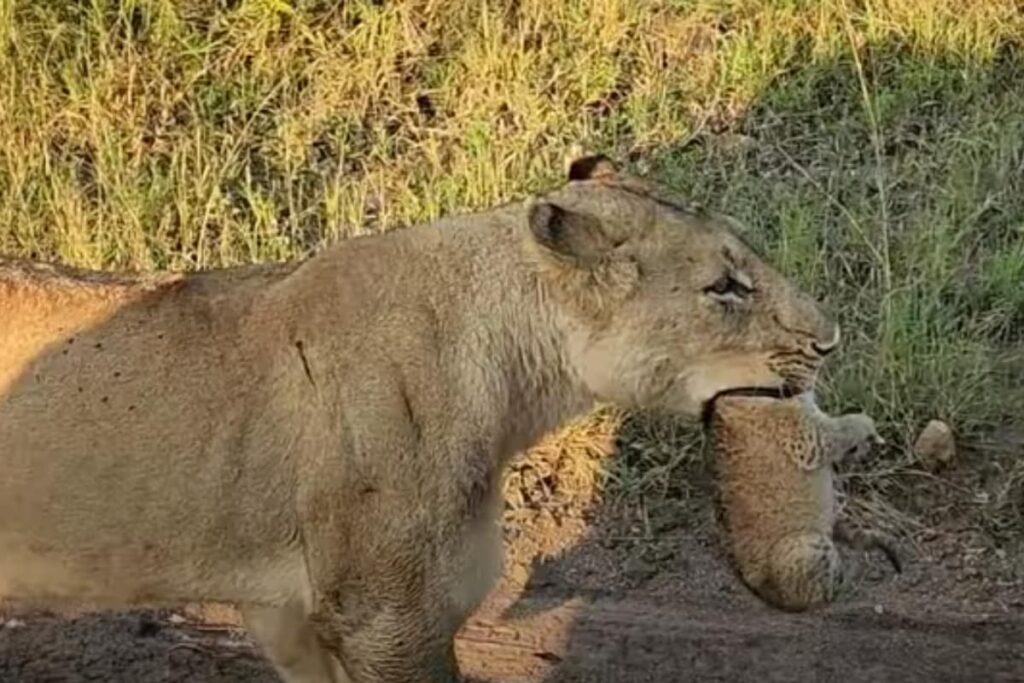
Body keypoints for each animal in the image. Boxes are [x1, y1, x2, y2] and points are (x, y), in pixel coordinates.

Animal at [708, 392, 902, 612]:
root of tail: (764, 591)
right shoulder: (806, 438)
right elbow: (840, 428)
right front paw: (866, 427)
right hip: (807, 546)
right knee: (821, 595)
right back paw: (853, 574)